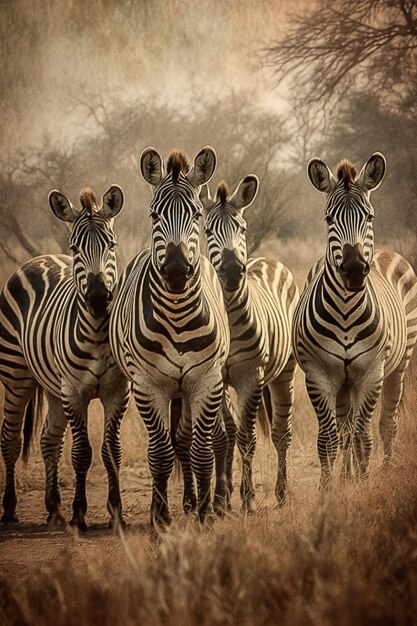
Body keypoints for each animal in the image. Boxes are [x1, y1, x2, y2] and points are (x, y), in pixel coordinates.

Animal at [0, 185, 130, 528]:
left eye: (111, 244)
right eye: (75, 247)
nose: (98, 298)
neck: (98, 332)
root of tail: (39, 257)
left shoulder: (117, 391)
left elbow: (112, 450)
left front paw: (116, 512)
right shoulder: (74, 391)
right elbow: (82, 452)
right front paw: (79, 513)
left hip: (52, 386)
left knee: (49, 439)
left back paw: (54, 509)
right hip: (17, 376)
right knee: (11, 439)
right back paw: (10, 509)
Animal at [109, 145, 229, 520]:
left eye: (196, 214)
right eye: (153, 215)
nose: (176, 270)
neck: (177, 315)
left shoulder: (207, 379)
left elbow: (201, 451)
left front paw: (205, 514)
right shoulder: (149, 385)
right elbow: (159, 455)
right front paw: (160, 517)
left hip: (191, 387)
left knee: (190, 440)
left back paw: (197, 502)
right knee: (170, 443)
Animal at [201, 176, 300, 508]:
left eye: (242, 229)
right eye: (207, 231)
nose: (233, 272)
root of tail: (266, 259)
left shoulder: (252, 375)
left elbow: (248, 438)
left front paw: (248, 499)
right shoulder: (213, 374)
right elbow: (223, 435)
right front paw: (222, 499)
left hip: (284, 374)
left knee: (282, 433)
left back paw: (281, 494)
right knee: (233, 429)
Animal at [292, 154, 416, 486]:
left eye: (369, 217)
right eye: (328, 220)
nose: (354, 269)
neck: (347, 308)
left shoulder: (371, 372)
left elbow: (364, 435)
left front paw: (363, 485)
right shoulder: (319, 374)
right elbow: (329, 439)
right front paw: (328, 490)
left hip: (399, 364)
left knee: (386, 422)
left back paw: (384, 470)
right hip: (343, 380)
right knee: (344, 428)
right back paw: (346, 476)